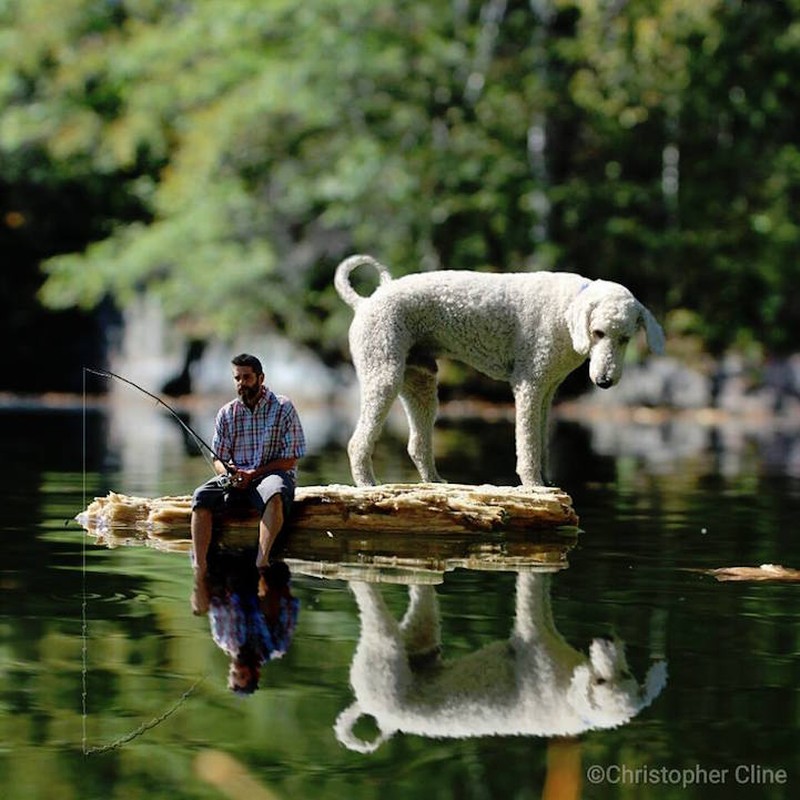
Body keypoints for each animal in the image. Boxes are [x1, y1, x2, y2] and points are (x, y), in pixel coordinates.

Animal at [334, 255, 664, 488]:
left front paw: (548, 484)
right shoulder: (529, 384)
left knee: (417, 444)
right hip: (383, 372)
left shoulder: (547, 391)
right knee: (357, 442)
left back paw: (437, 483)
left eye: (625, 338)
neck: (566, 311)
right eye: (598, 333)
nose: (604, 381)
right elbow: (528, 444)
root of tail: (364, 302)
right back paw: (367, 485)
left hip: (420, 381)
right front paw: (534, 486)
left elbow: (541, 443)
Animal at [334, 576, 664, 752]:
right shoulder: (535, 638)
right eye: (601, 682)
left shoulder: (540, 635)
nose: (607, 638)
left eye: (625, 674)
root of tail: (375, 711)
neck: (571, 700)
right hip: (384, 654)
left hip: (411, 642)